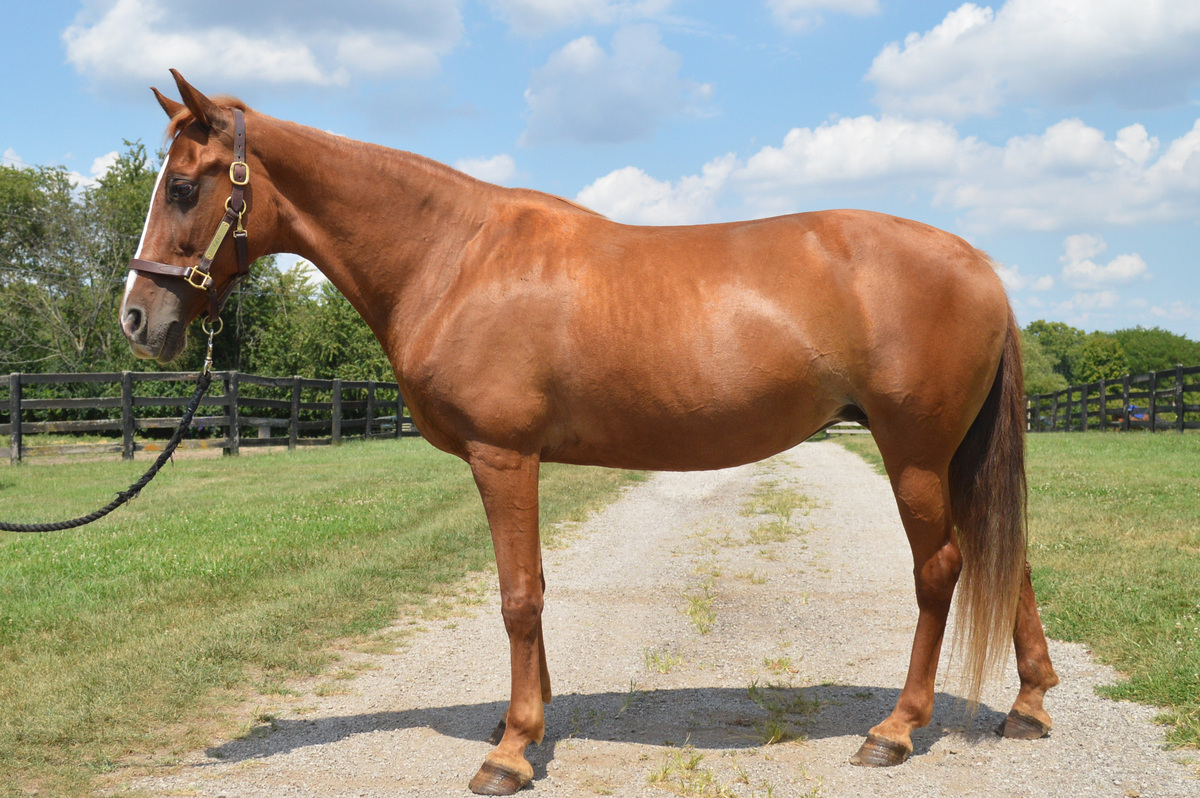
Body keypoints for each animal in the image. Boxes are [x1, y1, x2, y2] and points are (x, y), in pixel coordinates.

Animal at [120, 71, 1059, 795]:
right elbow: (532, 588)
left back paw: (895, 730)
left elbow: (517, 596)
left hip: (914, 454)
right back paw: (1029, 704)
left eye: (185, 186)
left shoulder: (503, 456)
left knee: (943, 569)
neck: (454, 257)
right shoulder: (519, 459)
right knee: (1005, 555)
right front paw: (526, 725)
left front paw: (508, 753)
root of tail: (980, 266)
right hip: (954, 456)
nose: (137, 319)